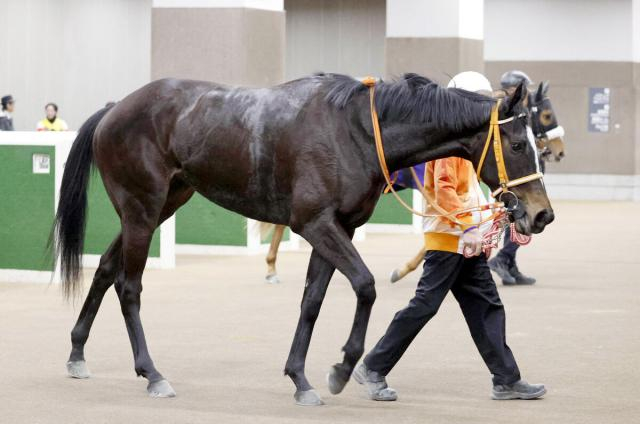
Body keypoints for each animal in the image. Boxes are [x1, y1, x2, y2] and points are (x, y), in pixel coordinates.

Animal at [53, 74, 556, 406]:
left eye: (535, 142)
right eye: (517, 144)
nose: (542, 214)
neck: (355, 129)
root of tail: (115, 108)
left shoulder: (338, 227)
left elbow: (312, 299)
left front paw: (300, 378)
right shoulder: (315, 223)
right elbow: (365, 285)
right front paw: (341, 369)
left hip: (161, 205)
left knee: (105, 269)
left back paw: (76, 353)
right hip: (142, 208)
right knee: (129, 286)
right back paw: (153, 373)